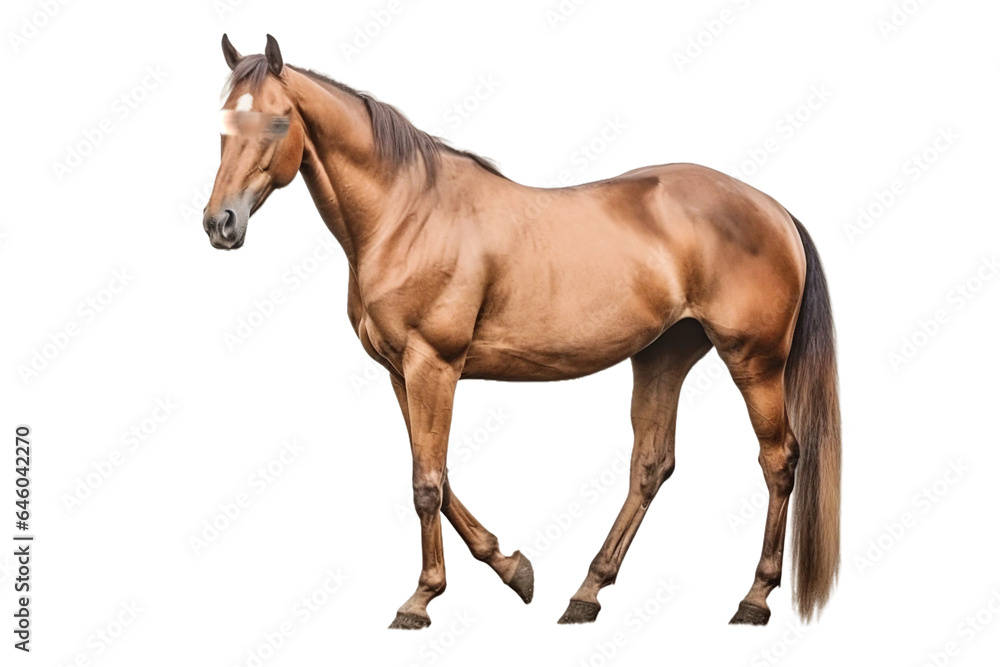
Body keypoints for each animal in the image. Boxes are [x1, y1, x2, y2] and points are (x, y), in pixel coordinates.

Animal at [203, 34, 841, 630]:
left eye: (278, 119)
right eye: (223, 120)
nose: (220, 223)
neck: (407, 214)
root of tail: (774, 210)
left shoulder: (433, 363)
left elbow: (426, 481)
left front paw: (421, 600)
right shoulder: (399, 372)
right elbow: (436, 474)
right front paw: (513, 569)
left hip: (754, 362)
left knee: (779, 460)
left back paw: (753, 598)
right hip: (665, 355)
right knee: (651, 465)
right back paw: (587, 593)